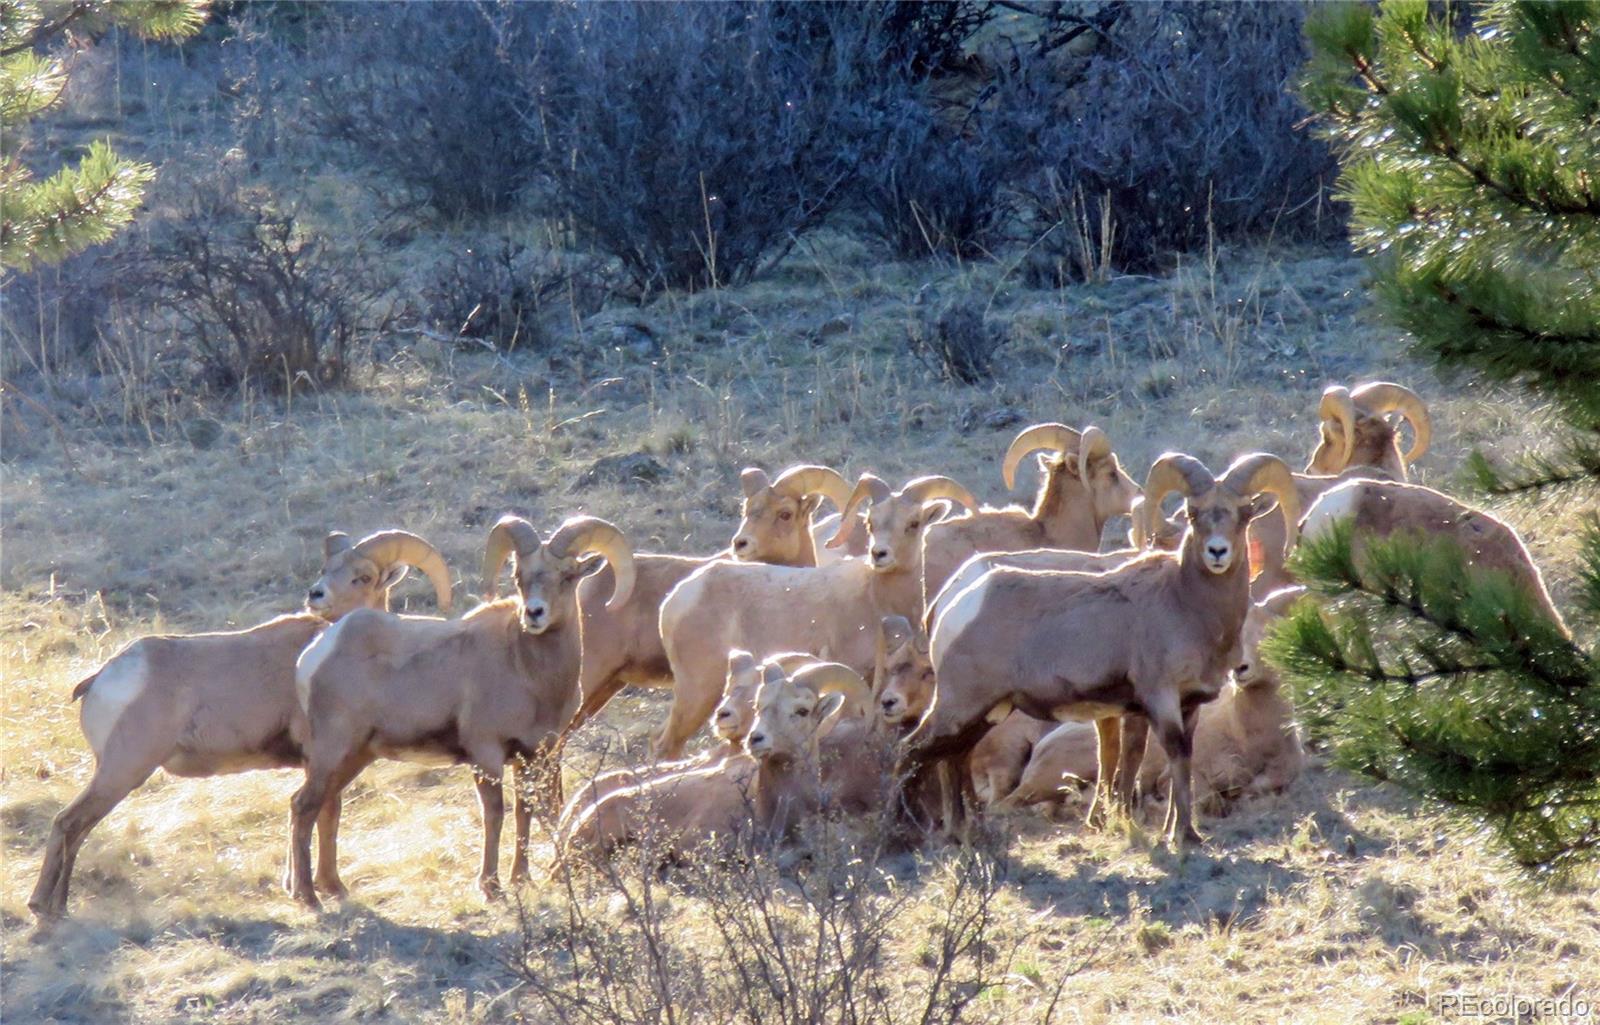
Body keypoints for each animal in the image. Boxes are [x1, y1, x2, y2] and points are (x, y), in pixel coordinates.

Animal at [28, 527, 454, 921]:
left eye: (361, 576)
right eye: (327, 569)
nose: (316, 595)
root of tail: (103, 677)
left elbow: (324, 817)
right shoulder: (324, 760)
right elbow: (321, 815)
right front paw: (322, 890)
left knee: (78, 829)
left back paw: (54, 907)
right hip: (123, 771)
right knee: (68, 824)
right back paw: (45, 907)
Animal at [291, 514, 633, 908]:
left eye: (568, 576)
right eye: (519, 576)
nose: (533, 613)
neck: (530, 673)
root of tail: (316, 653)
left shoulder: (532, 757)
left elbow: (525, 811)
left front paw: (521, 880)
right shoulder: (486, 754)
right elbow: (494, 815)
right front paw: (492, 887)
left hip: (355, 756)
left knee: (321, 805)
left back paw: (332, 889)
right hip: (332, 752)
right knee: (303, 806)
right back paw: (308, 897)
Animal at [652, 473, 972, 761]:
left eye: (913, 524)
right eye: (871, 523)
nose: (879, 554)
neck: (875, 597)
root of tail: (678, 598)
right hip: (698, 693)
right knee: (667, 746)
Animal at [915, 450, 1299, 844]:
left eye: (1245, 513)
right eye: (1194, 513)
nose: (1217, 552)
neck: (1185, 603)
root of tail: (953, 604)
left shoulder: (1187, 705)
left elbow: (1178, 757)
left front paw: (1171, 830)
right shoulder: (1159, 699)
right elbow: (1172, 754)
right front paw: (1184, 836)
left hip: (986, 711)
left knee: (955, 755)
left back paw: (966, 832)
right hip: (960, 706)